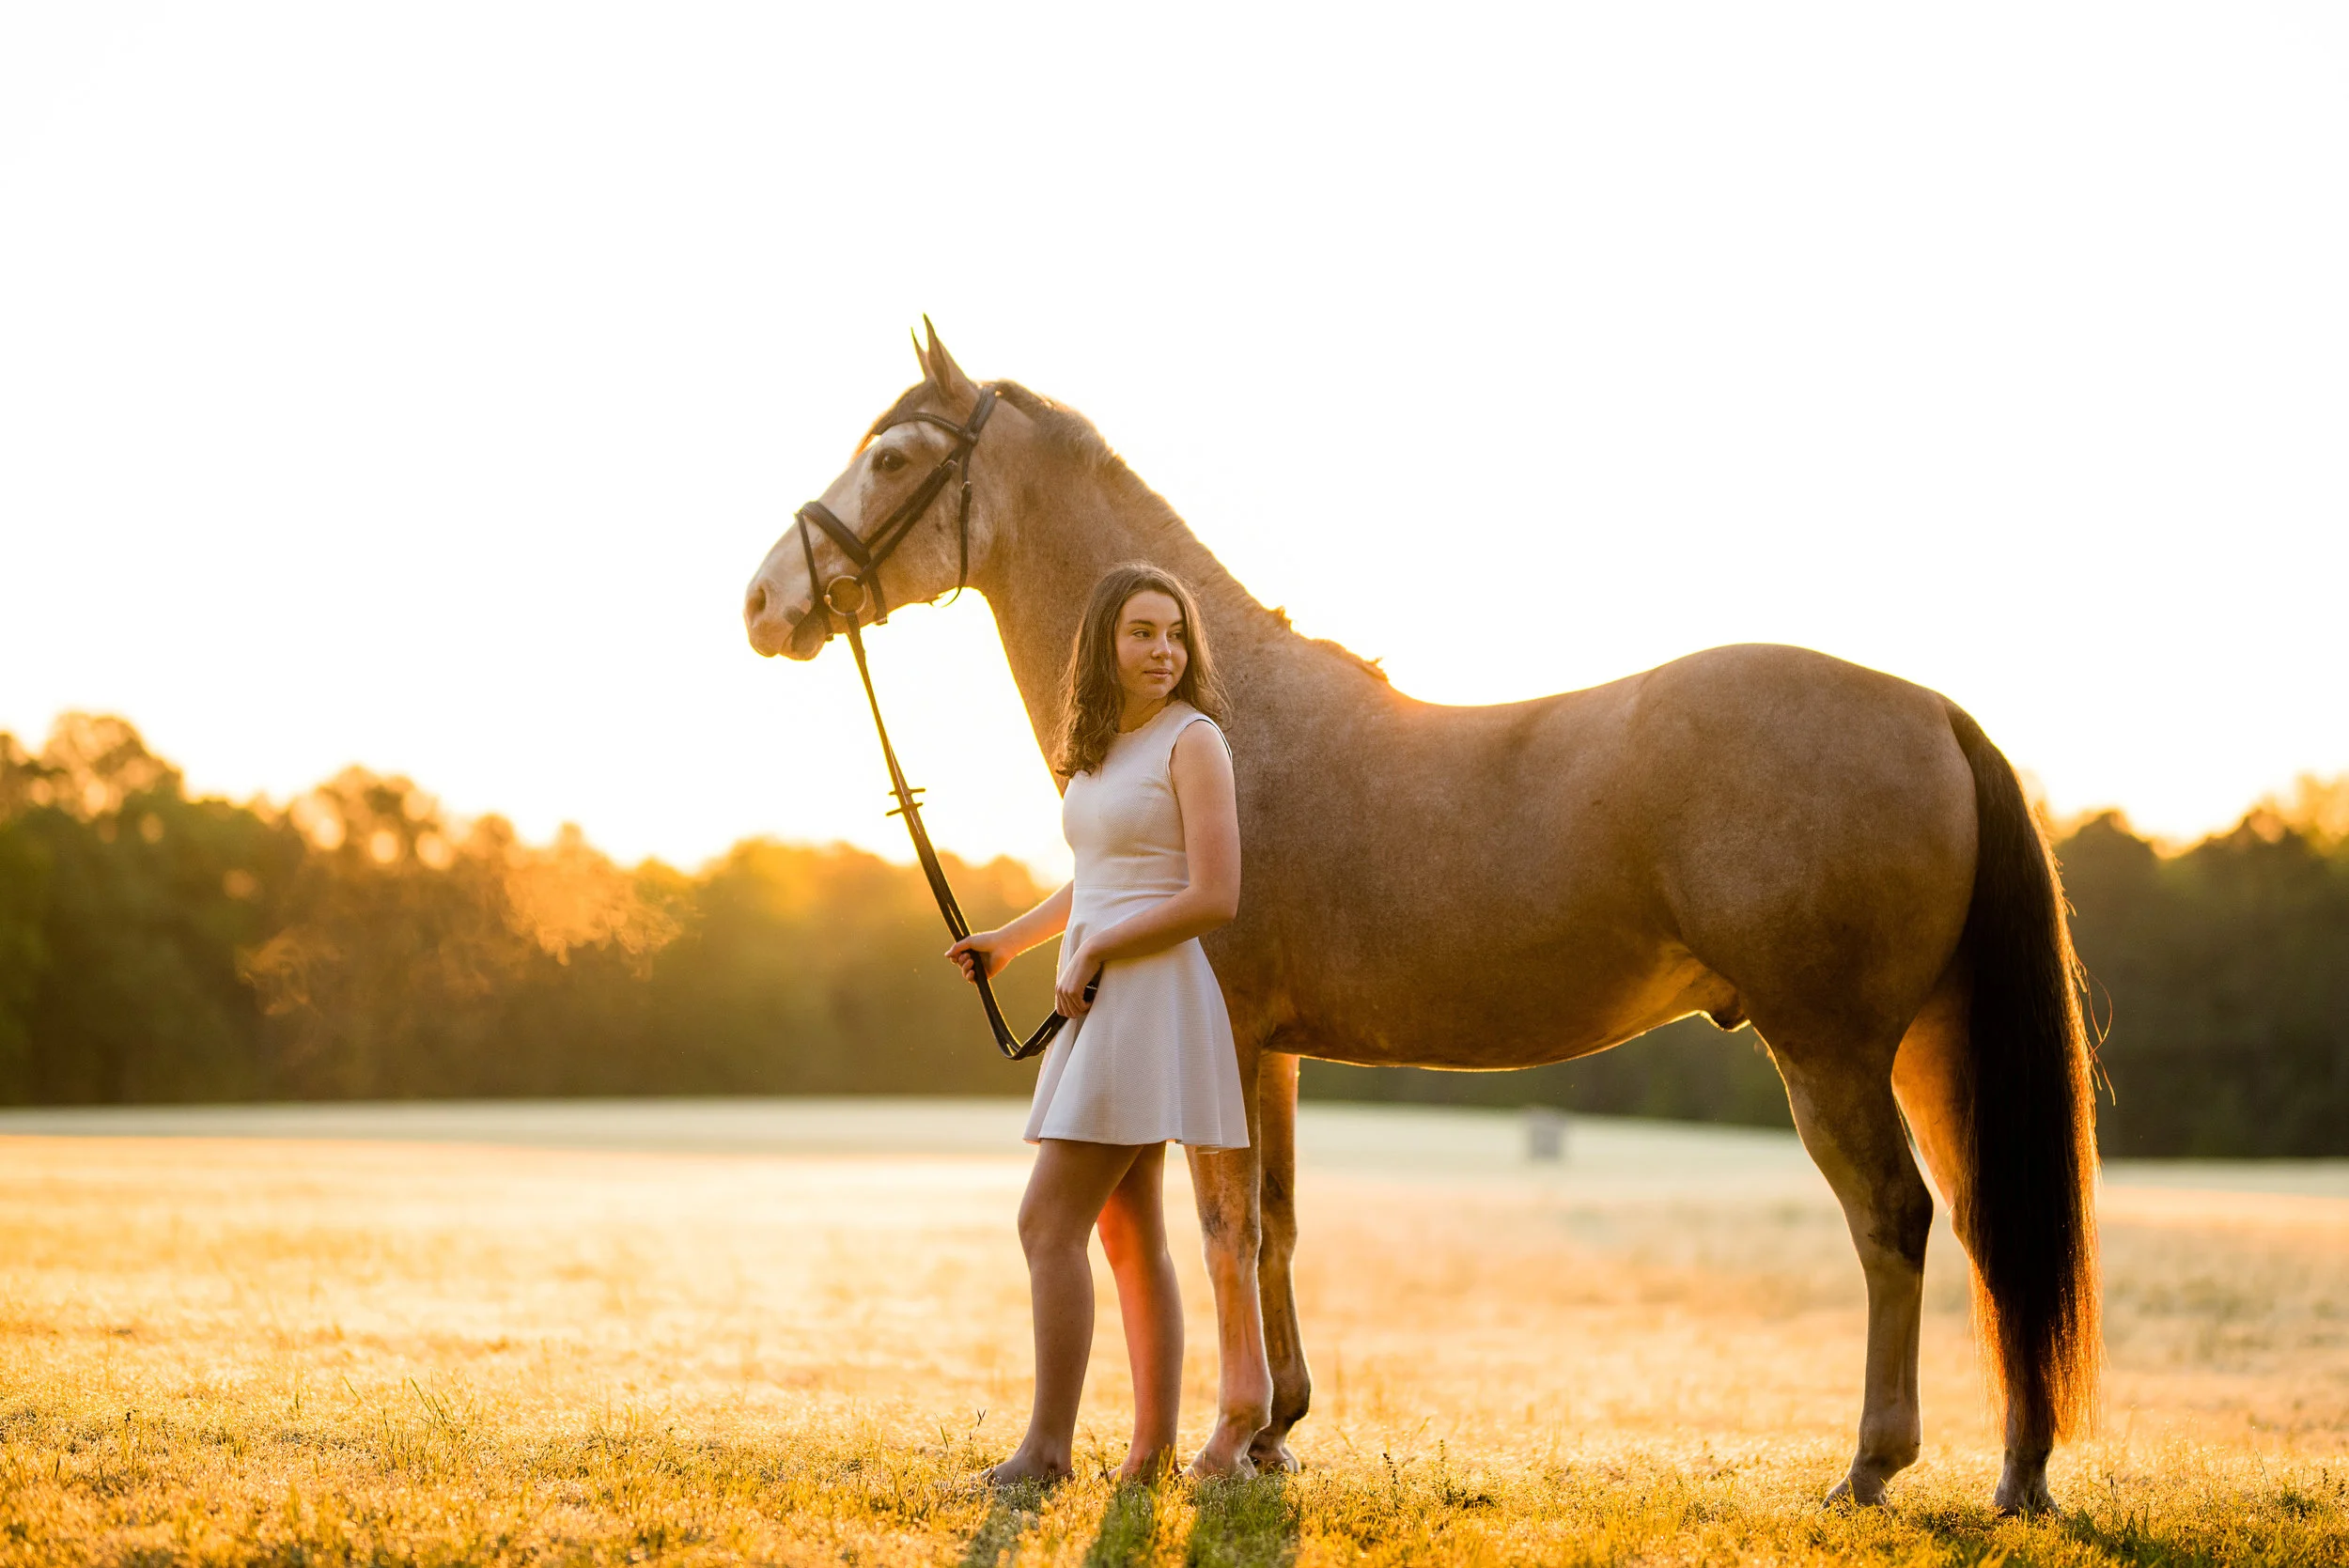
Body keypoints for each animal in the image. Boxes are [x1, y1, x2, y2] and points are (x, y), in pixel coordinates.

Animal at [742, 325, 2100, 1514]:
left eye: (894, 459)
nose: (762, 603)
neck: (1222, 707)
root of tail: (1931, 709)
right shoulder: (1271, 1052)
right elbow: (1277, 1226)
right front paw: (1276, 1431)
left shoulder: (1228, 1032)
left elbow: (1226, 1226)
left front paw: (1228, 1439)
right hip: (1928, 1045)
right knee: (1992, 1227)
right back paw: (2019, 1475)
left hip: (1827, 1046)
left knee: (1895, 1221)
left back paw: (1873, 1464)